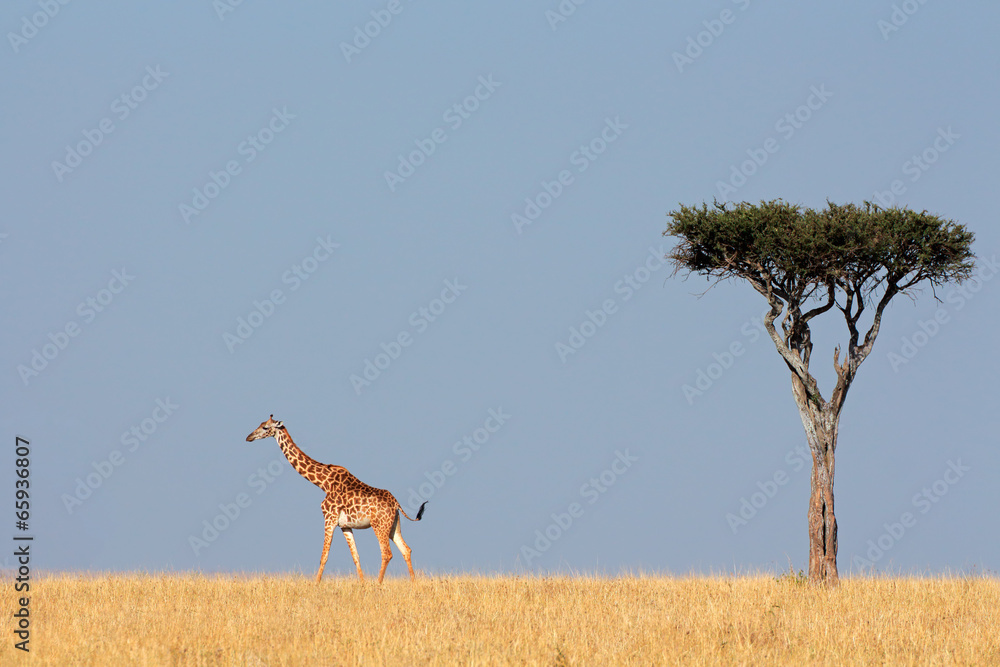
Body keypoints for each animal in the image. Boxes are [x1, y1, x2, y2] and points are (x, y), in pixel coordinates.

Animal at [245, 415, 427, 583]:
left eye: (265, 427)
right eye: (260, 424)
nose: (249, 437)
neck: (323, 482)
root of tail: (396, 503)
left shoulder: (329, 518)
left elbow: (324, 556)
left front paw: (316, 585)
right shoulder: (345, 525)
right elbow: (356, 557)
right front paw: (362, 585)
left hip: (379, 525)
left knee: (387, 553)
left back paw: (378, 584)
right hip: (393, 525)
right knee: (406, 549)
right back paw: (413, 583)